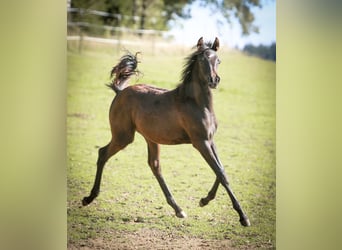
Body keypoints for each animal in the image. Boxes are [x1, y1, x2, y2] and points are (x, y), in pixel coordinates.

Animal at [81, 36, 250, 227]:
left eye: (218, 60)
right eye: (201, 60)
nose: (214, 80)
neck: (196, 103)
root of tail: (120, 92)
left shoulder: (210, 140)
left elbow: (221, 170)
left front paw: (204, 200)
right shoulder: (200, 142)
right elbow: (220, 172)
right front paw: (243, 217)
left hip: (151, 138)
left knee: (155, 165)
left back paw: (178, 210)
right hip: (123, 136)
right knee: (103, 153)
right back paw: (89, 198)